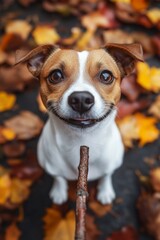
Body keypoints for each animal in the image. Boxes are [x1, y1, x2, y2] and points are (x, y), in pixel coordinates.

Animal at [16, 43, 143, 204]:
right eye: (56, 75)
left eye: (106, 76)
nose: (81, 99)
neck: (81, 140)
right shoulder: (52, 167)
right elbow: (58, 178)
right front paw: (59, 191)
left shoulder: (110, 165)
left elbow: (106, 175)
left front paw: (105, 191)